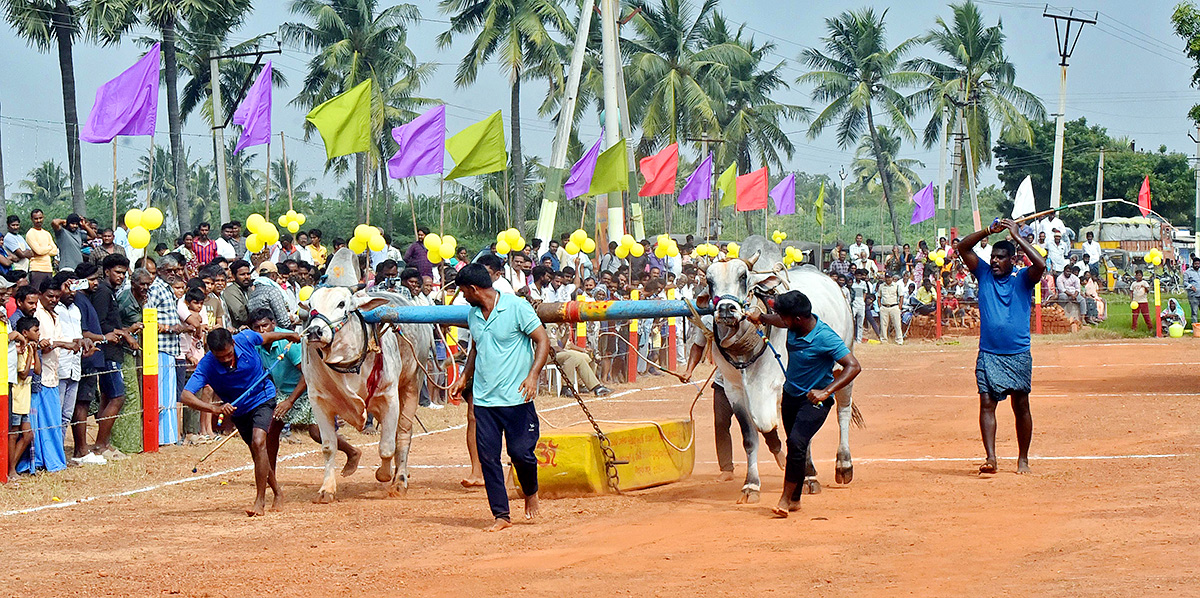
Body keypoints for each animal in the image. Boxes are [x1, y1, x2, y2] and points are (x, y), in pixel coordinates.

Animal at [302, 286, 434, 501]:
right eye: (311, 305)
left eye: (341, 304)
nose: (314, 331)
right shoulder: (319, 401)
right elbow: (329, 447)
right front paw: (326, 489)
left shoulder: (389, 398)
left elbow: (387, 447)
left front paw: (384, 474)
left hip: (412, 385)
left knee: (403, 435)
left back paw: (400, 480)